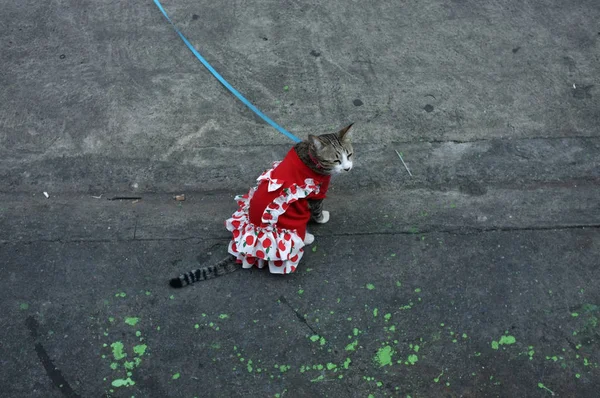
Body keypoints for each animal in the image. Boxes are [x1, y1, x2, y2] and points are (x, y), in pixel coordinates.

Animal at [169, 123, 354, 288]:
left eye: (350, 155)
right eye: (336, 160)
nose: (347, 168)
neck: (311, 155)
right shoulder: (316, 195)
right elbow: (318, 211)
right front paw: (323, 218)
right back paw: (307, 238)